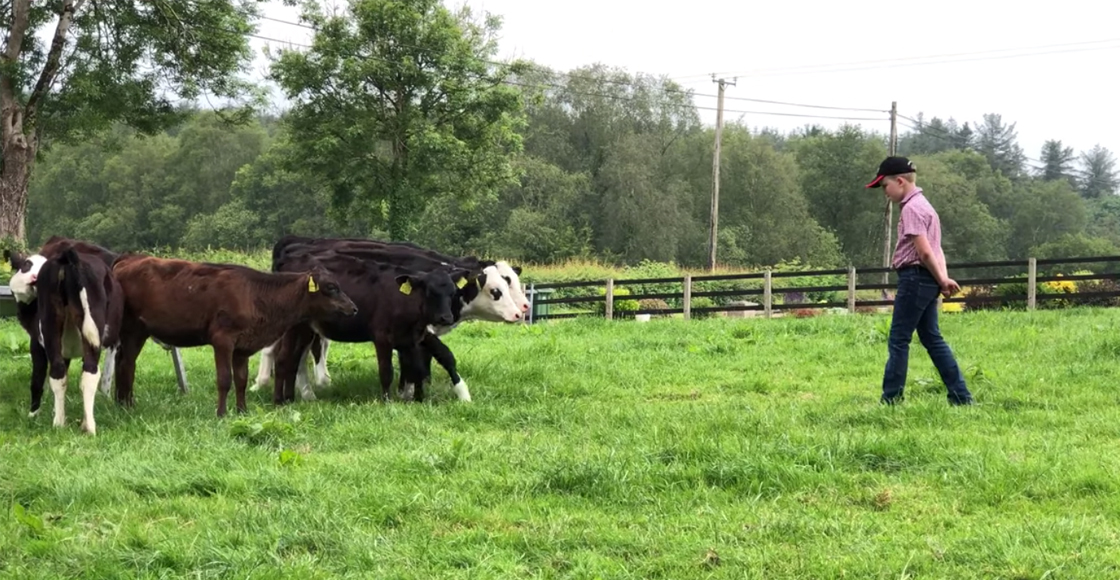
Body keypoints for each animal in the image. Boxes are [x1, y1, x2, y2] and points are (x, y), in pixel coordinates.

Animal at [108, 255, 353, 418]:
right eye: (331, 287)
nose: (353, 307)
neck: (255, 295)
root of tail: (128, 260)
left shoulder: (243, 346)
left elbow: (241, 380)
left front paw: (242, 410)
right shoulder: (223, 340)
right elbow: (225, 379)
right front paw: (222, 413)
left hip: (139, 331)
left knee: (126, 363)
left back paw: (125, 403)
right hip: (131, 328)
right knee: (126, 363)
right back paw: (125, 404)